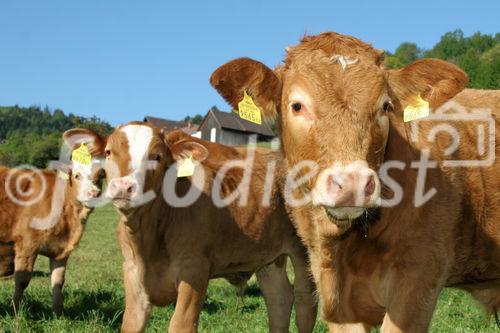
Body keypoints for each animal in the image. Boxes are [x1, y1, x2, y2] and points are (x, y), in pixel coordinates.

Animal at [0, 130, 105, 314]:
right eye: (76, 175)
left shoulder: (61, 250)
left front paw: (58, 312)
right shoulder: (27, 244)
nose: (93, 193)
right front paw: (15, 310)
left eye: (100, 175)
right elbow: (22, 280)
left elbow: (58, 280)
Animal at [77, 122, 316, 332]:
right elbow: (131, 324)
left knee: (305, 301)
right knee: (279, 299)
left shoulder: (194, 270)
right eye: (108, 152)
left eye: (157, 156)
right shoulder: (132, 270)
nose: (123, 186)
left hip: (304, 250)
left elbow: (181, 325)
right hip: (267, 257)